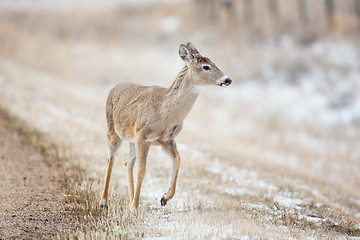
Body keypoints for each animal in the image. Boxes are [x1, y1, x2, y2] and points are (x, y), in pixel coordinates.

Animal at [100, 42, 232, 211]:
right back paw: (104, 202)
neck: (164, 112)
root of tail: (113, 87)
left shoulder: (166, 140)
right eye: (206, 66)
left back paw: (130, 200)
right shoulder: (143, 137)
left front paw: (164, 198)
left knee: (127, 163)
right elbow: (142, 171)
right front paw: (135, 208)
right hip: (113, 130)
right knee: (111, 159)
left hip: (131, 139)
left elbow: (178, 159)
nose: (228, 80)